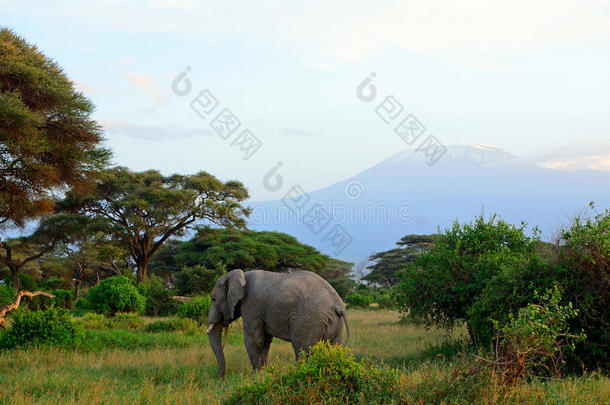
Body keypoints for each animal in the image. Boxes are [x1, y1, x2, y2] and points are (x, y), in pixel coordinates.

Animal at [205, 268, 350, 376]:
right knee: (332, 348)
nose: (220, 378)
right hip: (335, 323)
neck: (241, 276)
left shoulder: (251, 306)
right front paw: (264, 374)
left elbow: (254, 339)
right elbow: (265, 340)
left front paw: (258, 376)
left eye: (213, 299)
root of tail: (337, 304)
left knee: (303, 349)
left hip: (310, 319)